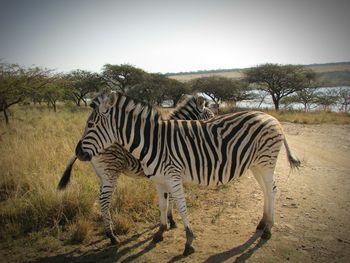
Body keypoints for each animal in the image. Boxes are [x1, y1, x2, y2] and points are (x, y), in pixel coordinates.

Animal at [57, 95, 213, 245]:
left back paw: (110, 231)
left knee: (101, 197)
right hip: (110, 172)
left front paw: (168, 220)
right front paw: (171, 220)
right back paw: (112, 236)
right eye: (210, 115)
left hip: (102, 174)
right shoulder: (171, 172)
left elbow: (168, 197)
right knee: (104, 200)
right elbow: (172, 198)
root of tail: (82, 144)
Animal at [75, 92, 300, 256]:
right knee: (266, 190)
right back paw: (262, 224)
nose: (77, 152)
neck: (153, 142)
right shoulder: (159, 180)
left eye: (91, 125)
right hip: (256, 165)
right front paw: (161, 230)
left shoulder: (173, 178)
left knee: (272, 191)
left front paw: (188, 241)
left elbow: (182, 207)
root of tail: (271, 117)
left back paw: (268, 229)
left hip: (266, 163)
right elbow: (163, 204)